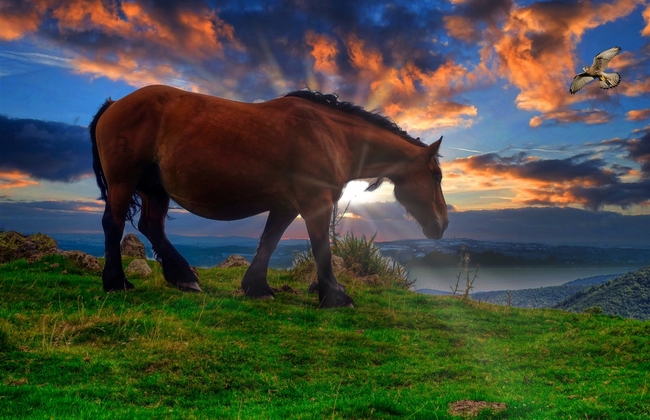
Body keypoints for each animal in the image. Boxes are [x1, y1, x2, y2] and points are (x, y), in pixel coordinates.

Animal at [90, 85, 448, 308]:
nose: (442, 224)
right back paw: (117, 282)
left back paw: (184, 278)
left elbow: (269, 241)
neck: (330, 134)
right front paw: (335, 297)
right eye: (437, 176)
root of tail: (114, 105)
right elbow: (321, 248)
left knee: (151, 227)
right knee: (114, 224)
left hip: (154, 188)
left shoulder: (286, 205)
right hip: (123, 182)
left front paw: (257, 288)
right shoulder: (315, 203)